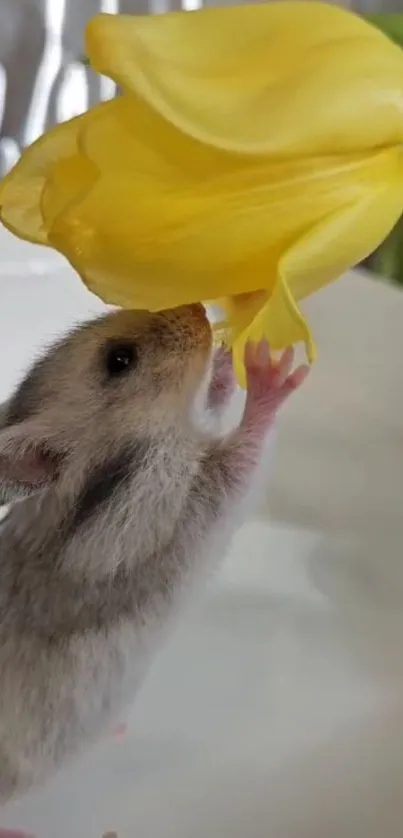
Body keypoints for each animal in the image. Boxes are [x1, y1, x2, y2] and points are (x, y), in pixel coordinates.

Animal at [0, 306, 310, 804]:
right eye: (120, 360)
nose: (200, 311)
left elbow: (214, 405)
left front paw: (226, 356)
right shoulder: (187, 504)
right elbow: (244, 451)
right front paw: (267, 367)